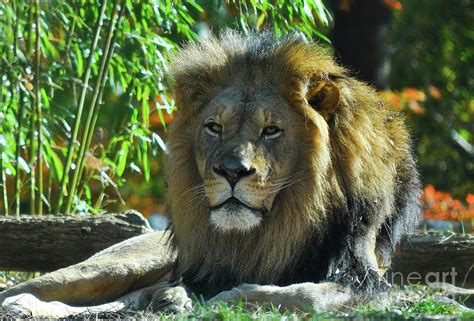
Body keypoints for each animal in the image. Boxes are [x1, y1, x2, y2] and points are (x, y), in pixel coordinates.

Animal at [0, 30, 422, 316]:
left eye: (271, 130)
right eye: (214, 127)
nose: (232, 171)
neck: (281, 226)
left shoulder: (367, 279)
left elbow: (304, 294)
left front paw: (225, 297)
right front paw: (204, 296)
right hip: (119, 264)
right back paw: (24, 302)